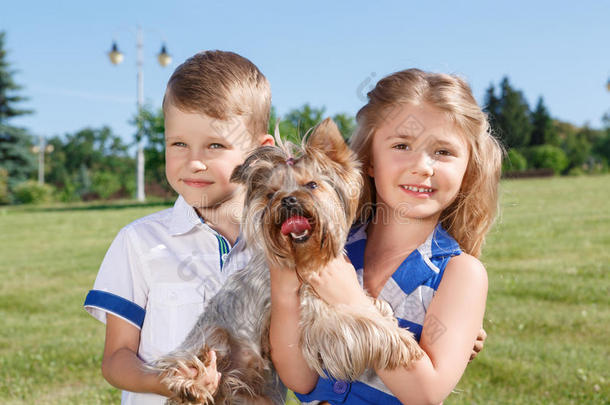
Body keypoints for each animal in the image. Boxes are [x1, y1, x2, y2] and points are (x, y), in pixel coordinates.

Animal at [150, 118, 420, 402]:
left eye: (312, 185)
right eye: (271, 194)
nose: (288, 200)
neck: (307, 255)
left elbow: (369, 307)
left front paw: (385, 314)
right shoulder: (318, 313)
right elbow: (360, 323)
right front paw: (401, 340)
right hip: (214, 336)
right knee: (187, 363)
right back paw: (192, 385)